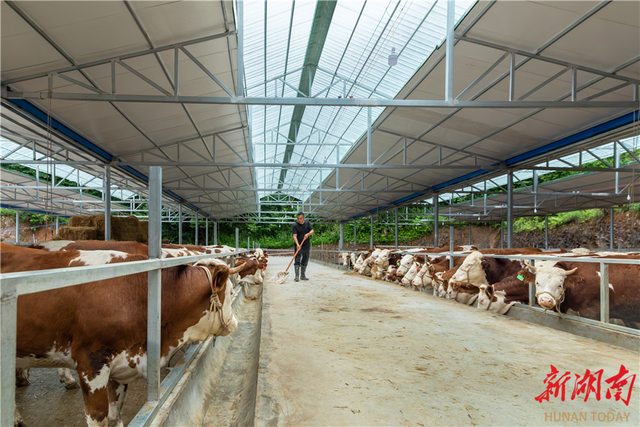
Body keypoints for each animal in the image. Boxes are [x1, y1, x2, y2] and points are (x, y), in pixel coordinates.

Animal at [1, 246, 242, 426]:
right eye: (230, 292)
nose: (236, 323)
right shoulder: (91, 362)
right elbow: (100, 416)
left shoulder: (121, 365)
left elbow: (115, 414)